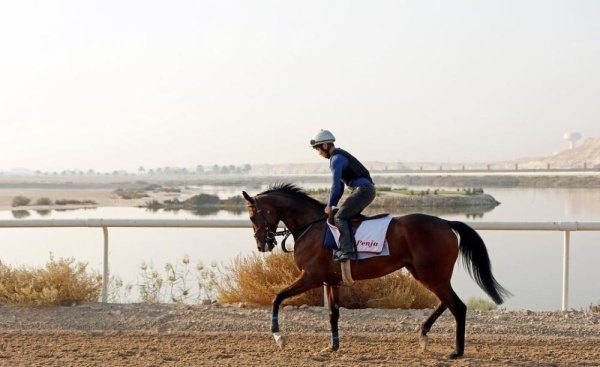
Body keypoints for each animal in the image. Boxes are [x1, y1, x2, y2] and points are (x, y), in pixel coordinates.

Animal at [241, 183, 508, 360]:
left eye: (253, 216)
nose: (262, 244)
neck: (311, 227)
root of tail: (445, 222)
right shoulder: (331, 281)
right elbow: (333, 314)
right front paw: (332, 346)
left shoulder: (311, 277)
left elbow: (277, 297)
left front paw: (279, 337)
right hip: (427, 274)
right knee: (446, 302)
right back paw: (423, 334)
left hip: (430, 274)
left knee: (457, 305)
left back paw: (457, 351)